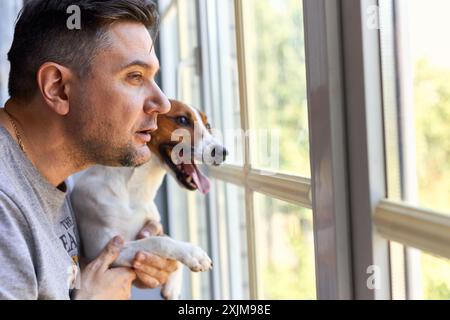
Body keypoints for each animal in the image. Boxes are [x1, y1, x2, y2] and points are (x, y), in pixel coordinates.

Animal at [71, 99, 227, 298]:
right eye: (182, 120)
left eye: (208, 125)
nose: (223, 152)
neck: (135, 190)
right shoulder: (101, 249)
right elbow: (159, 240)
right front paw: (194, 254)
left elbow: (165, 237)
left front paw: (173, 286)